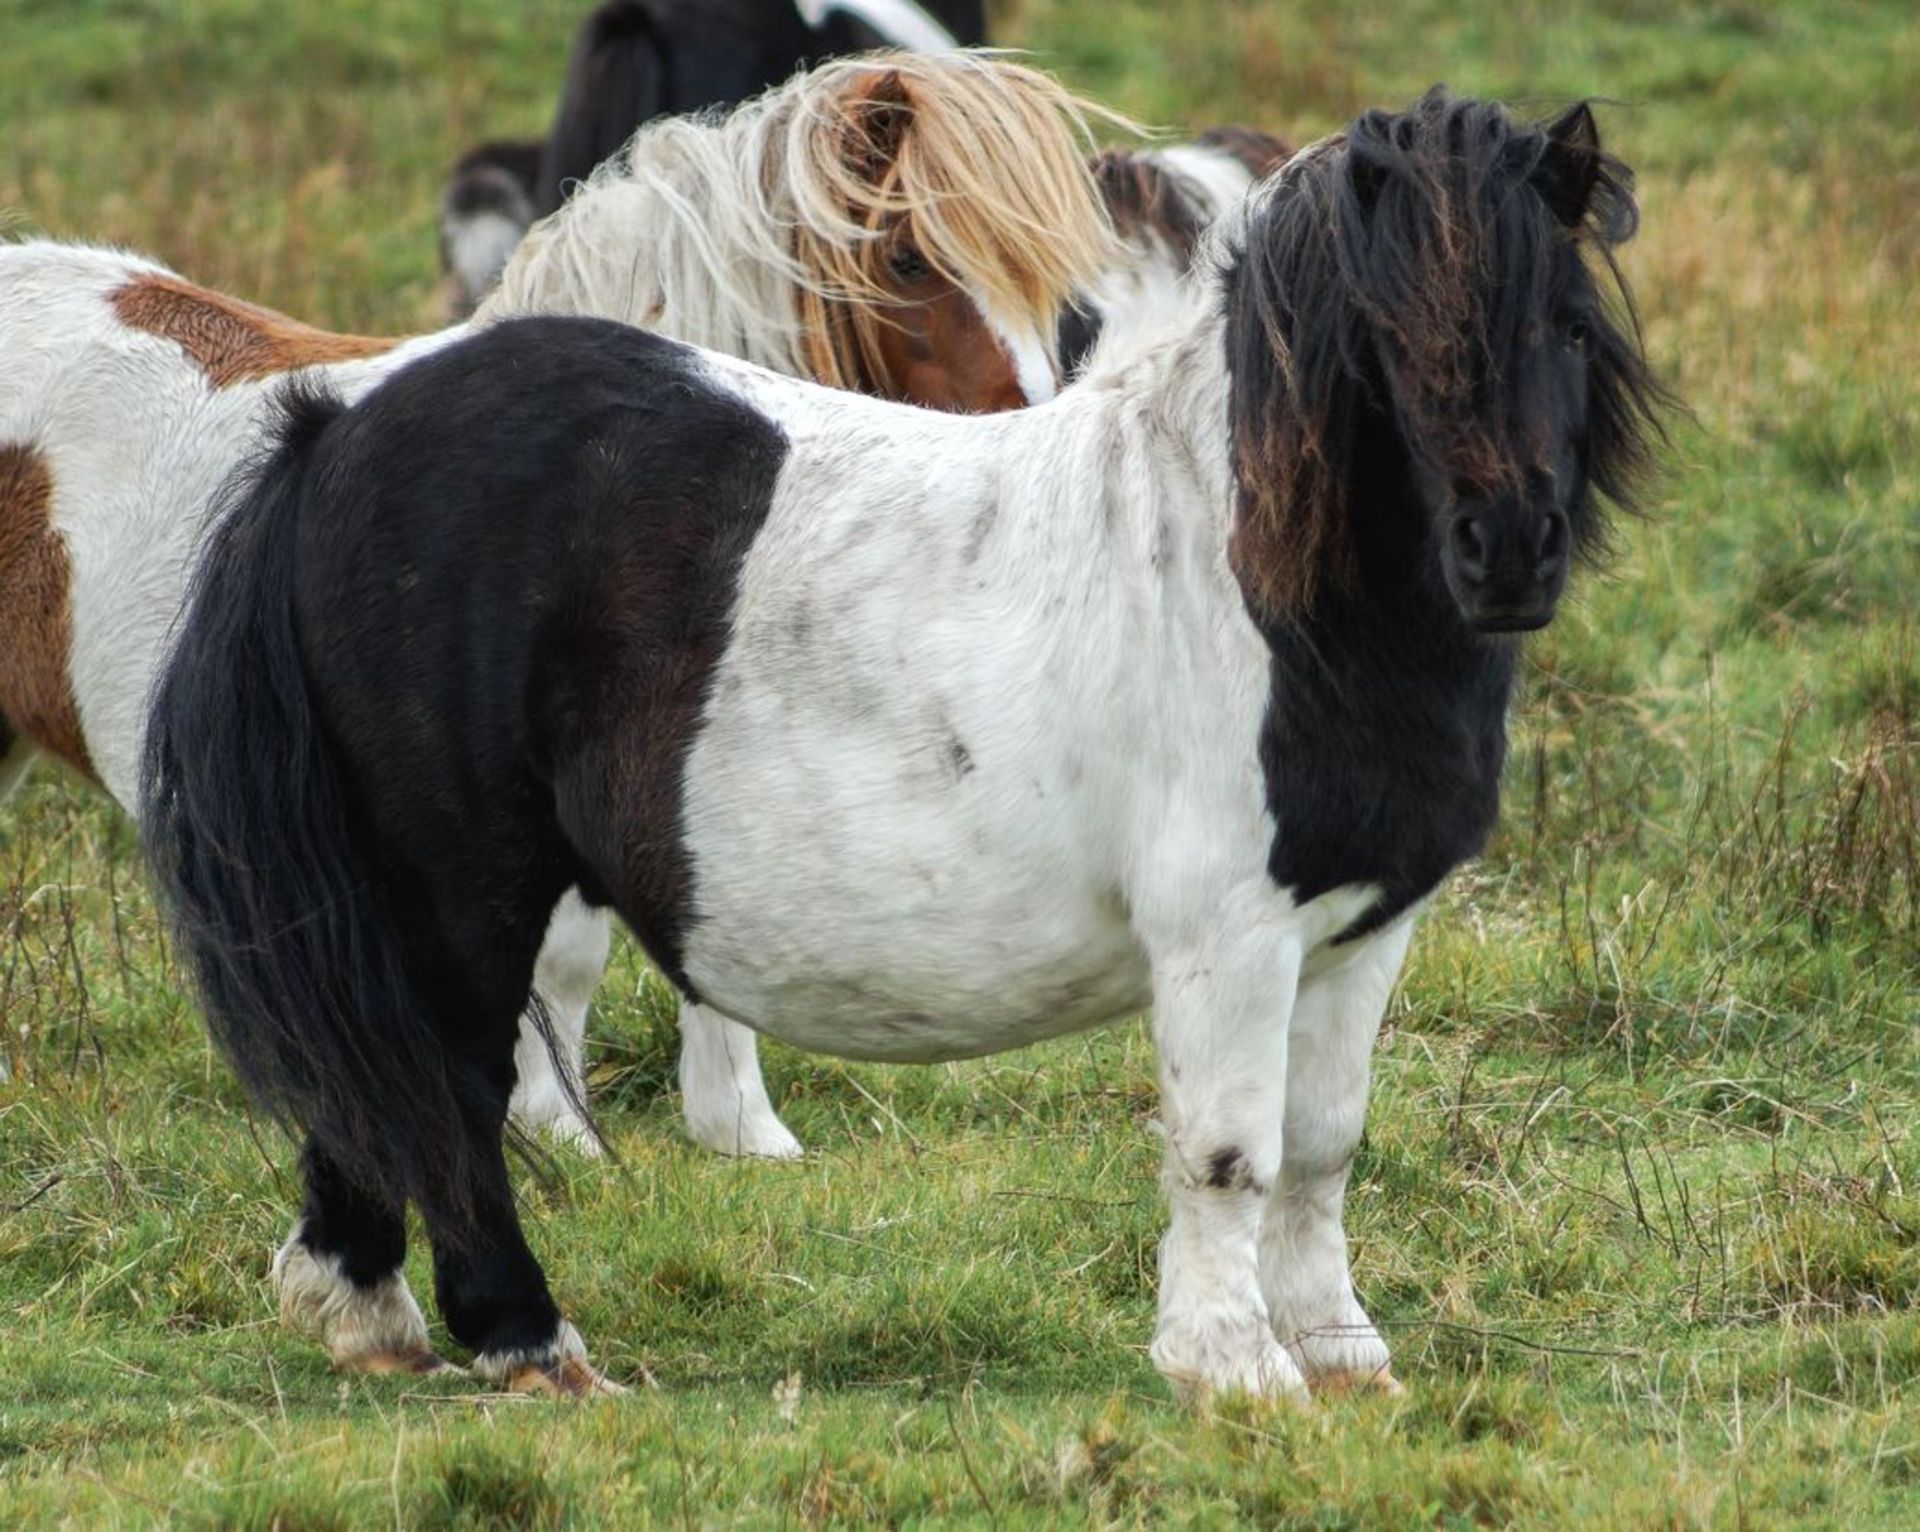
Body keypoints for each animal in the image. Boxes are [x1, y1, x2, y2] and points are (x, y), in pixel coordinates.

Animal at [142, 90, 1666, 1397]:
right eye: (1391, 340)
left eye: (1567, 329)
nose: (1510, 552)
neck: (1269, 589)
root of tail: (336, 433)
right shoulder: (1227, 932)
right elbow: (1230, 1148)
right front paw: (1232, 1369)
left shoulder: (1359, 930)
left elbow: (1324, 1144)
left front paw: (1342, 1354)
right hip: (459, 885)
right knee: (446, 1084)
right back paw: (526, 1341)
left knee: (378, 1081)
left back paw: (366, 1313)